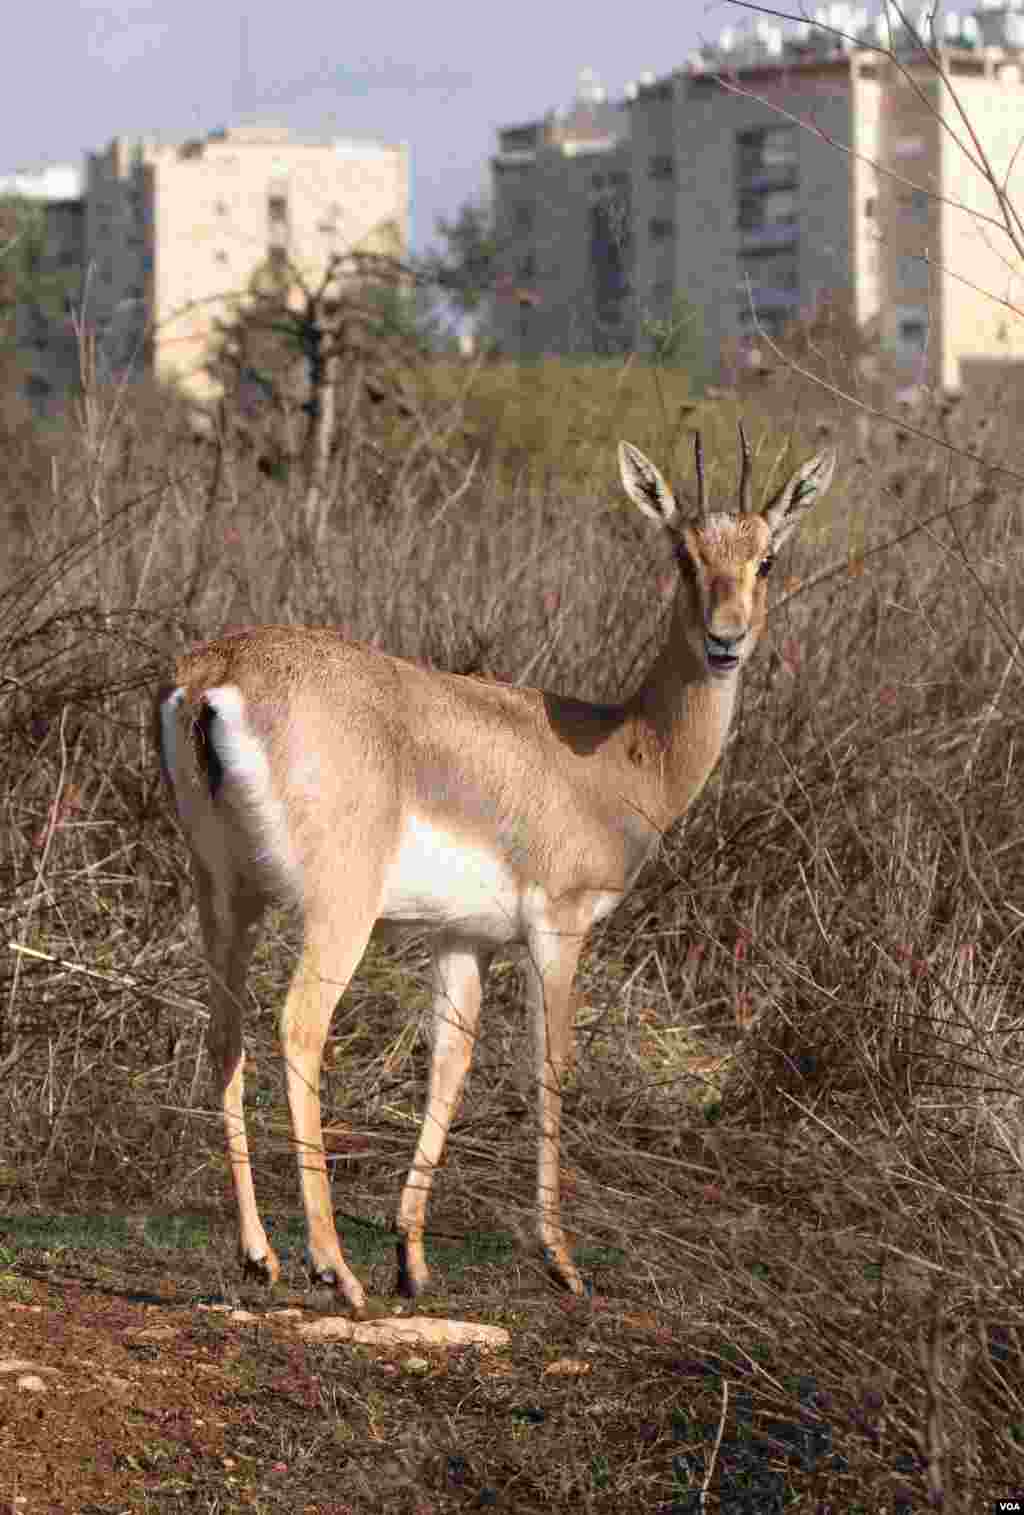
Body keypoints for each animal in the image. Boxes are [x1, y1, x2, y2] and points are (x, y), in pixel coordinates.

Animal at [157, 430, 836, 1314]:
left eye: (766, 558)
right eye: (683, 555)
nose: (727, 639)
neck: (620, 758)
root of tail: (215, 674)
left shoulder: (462, 940)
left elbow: (450, 1066)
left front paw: (412, 1257)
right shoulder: (560, 929)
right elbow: (549, 1066)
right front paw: (561, 1259)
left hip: (225, 895)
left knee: (224, 1034)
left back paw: (258, 1254)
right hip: (338, 911)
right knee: (298, 1026)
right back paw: (333, 1267)